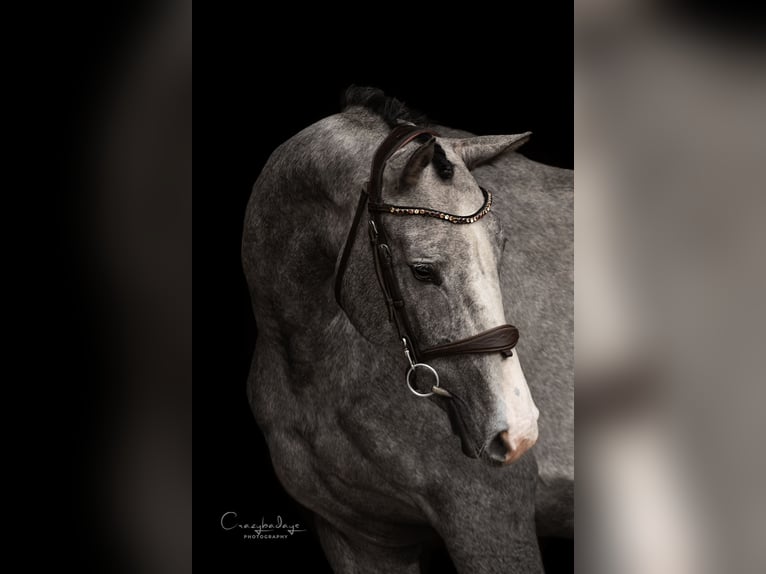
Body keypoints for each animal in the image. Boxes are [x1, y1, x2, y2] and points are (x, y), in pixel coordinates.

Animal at [242, 87, 573, 573]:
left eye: (502, 248)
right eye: (422, 271)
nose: (519, 429)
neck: (308, 364)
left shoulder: (489, 522)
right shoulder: (359, 539)